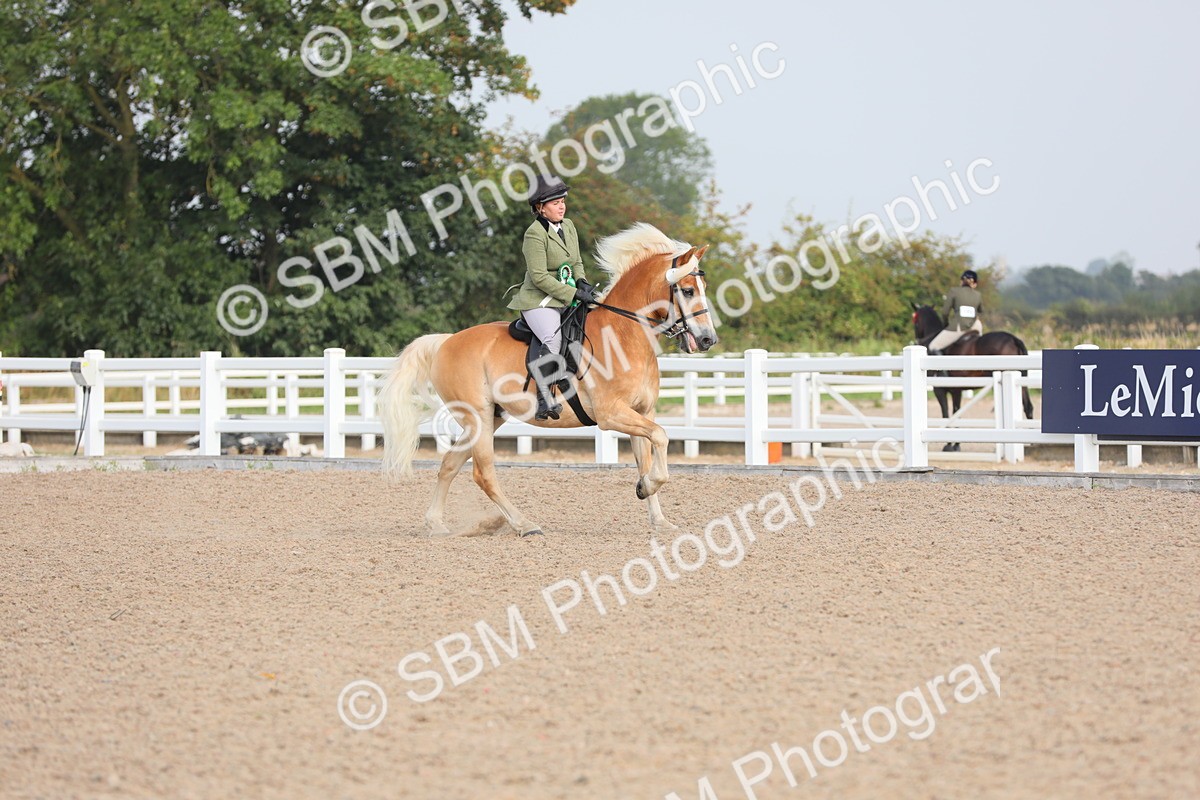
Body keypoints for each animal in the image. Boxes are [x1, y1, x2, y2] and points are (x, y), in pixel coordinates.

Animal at [380, 223, 718, 537]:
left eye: (702, 286)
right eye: (687, 290)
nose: (707, 340)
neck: (624, 335)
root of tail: (446, 341)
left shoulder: (641, 412)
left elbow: (648, 458)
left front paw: (657, 515)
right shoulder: (611, 414)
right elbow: (661, 438)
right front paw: (645, 487)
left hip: (490, 418)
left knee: (450, 463)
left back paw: (436, 524)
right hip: (478, 418)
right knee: (483, 473)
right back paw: (524, 524)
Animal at [910, 303, 1034, 451]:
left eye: (915, 322)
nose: (916, 340)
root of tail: (1013, 339)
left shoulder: (940, 390)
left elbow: (947, 414)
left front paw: (949, 445)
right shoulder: (956, 390)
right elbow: (956, 413)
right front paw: (956, 444)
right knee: (1028, 407)